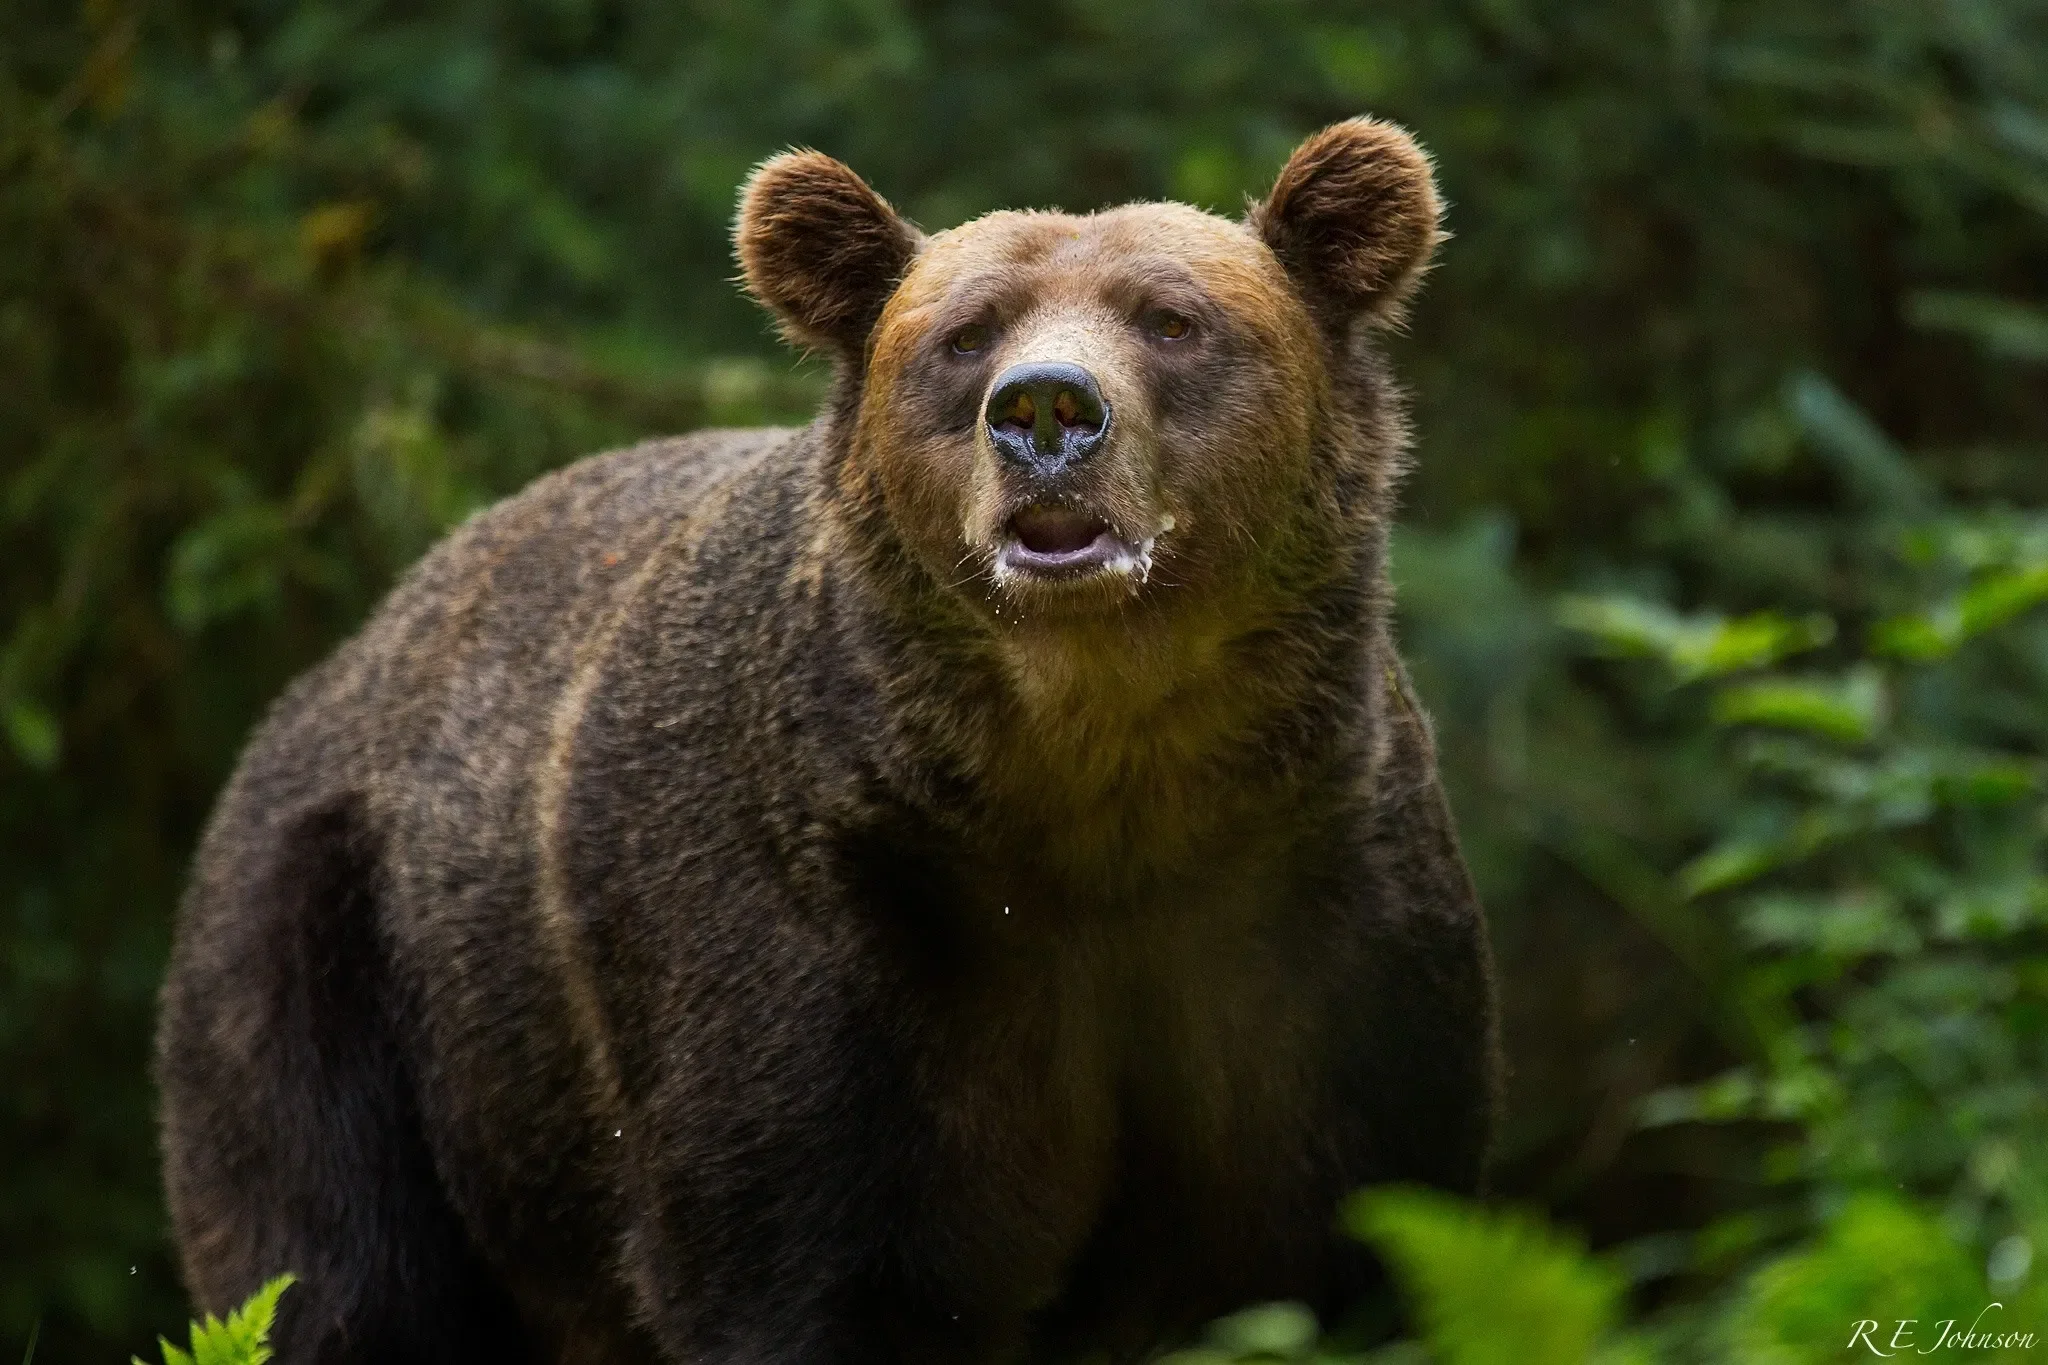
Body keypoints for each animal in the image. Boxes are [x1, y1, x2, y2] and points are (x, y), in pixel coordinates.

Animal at [155, 116, 1499, 1365]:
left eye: (1172, 319)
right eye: (964, 336)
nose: (1047, 409)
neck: (1091, 778)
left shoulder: (1305, 920)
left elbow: (1321, 1240)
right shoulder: (829, 924)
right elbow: (808, 1256)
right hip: (331, 974)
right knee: (339, 1279)